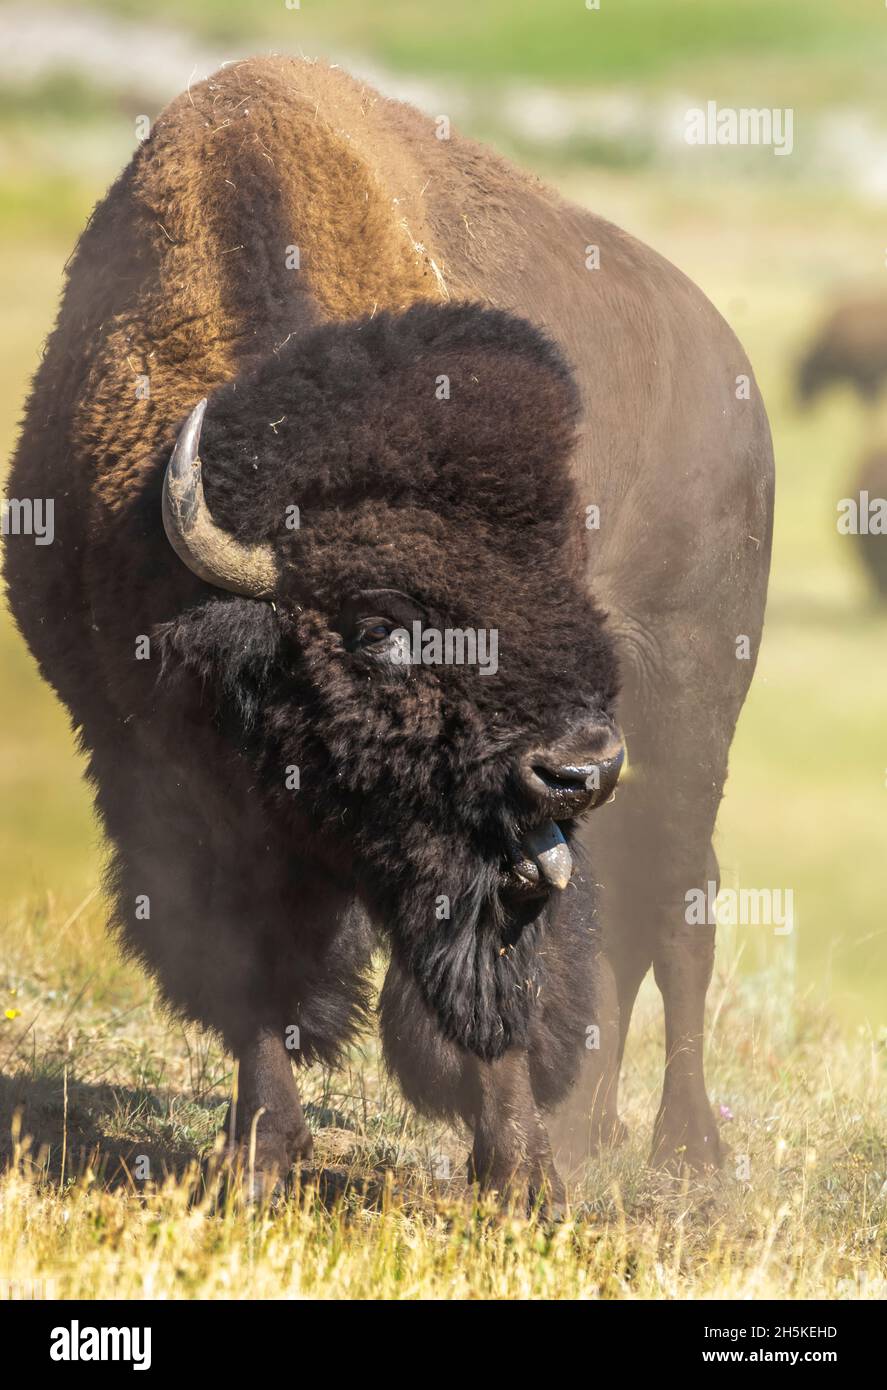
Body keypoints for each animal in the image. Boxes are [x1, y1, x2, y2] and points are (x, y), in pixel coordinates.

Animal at [3, 56, 772, 1206]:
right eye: (383, 626)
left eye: (563, 572)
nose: (577, 768)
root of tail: (738, 382)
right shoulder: (164, 783)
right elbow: (252, 970)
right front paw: (257, 1161)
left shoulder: (498, 853)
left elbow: (501, 981)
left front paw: (521, 1180)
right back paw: (593, 1128)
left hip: (690, 711)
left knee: (680, 910)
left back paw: (685, 1152)